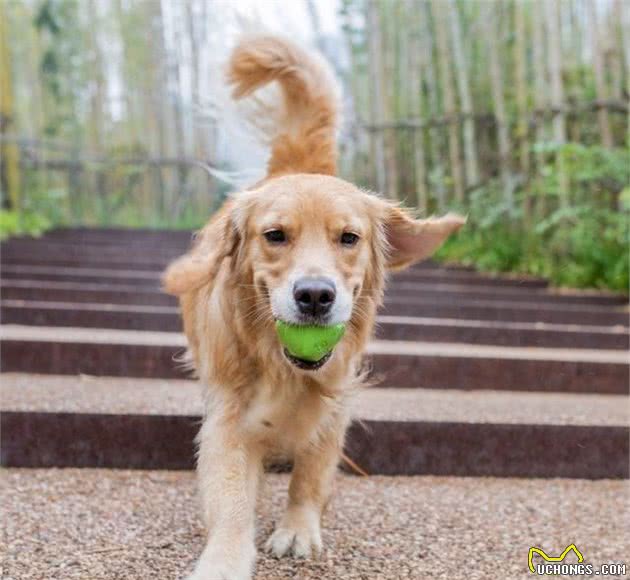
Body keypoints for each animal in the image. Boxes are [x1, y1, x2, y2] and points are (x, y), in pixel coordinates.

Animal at [163, 35, 466, 580]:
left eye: (349, 238)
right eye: (275, 235)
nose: (315, 295)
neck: (285, 371)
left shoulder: (336, 404)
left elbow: (313, 472)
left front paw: (299, 527)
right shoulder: (229, 420)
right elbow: (231, 497)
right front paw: (224, 559)